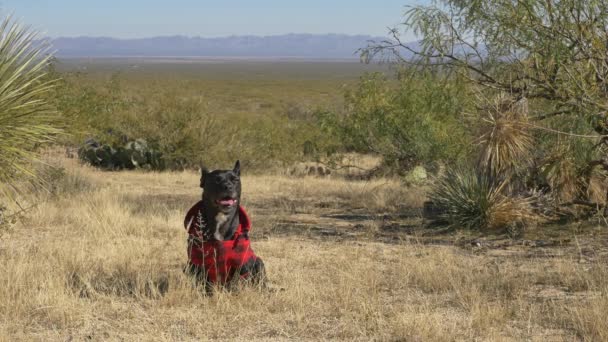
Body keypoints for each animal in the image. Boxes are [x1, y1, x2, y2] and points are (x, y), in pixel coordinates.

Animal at [183, 160, 264, 288]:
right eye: (216, 180)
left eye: (235, 180)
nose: (228, 186)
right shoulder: (197, 262)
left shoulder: (242, 263)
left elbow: (237, 282)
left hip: (259, 262)